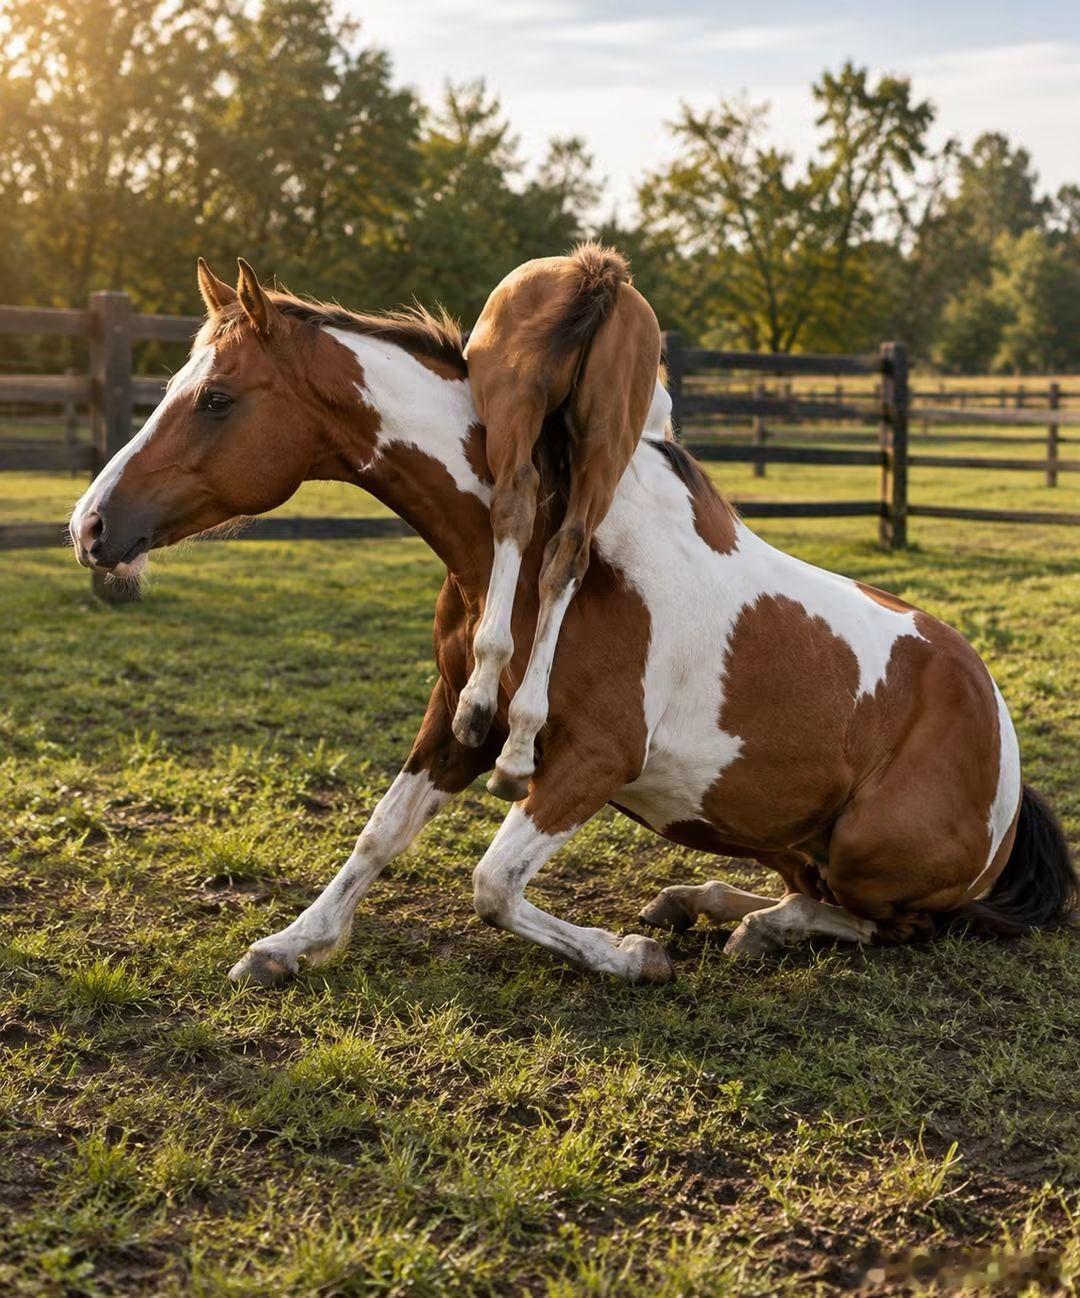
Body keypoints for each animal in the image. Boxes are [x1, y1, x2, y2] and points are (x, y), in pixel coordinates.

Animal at [454, 245, 662, 804]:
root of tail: (592, 274)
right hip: (605, 447)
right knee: (570, 551)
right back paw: (517, 750)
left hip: (513, 411)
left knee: (516, 504)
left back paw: (478, 702)